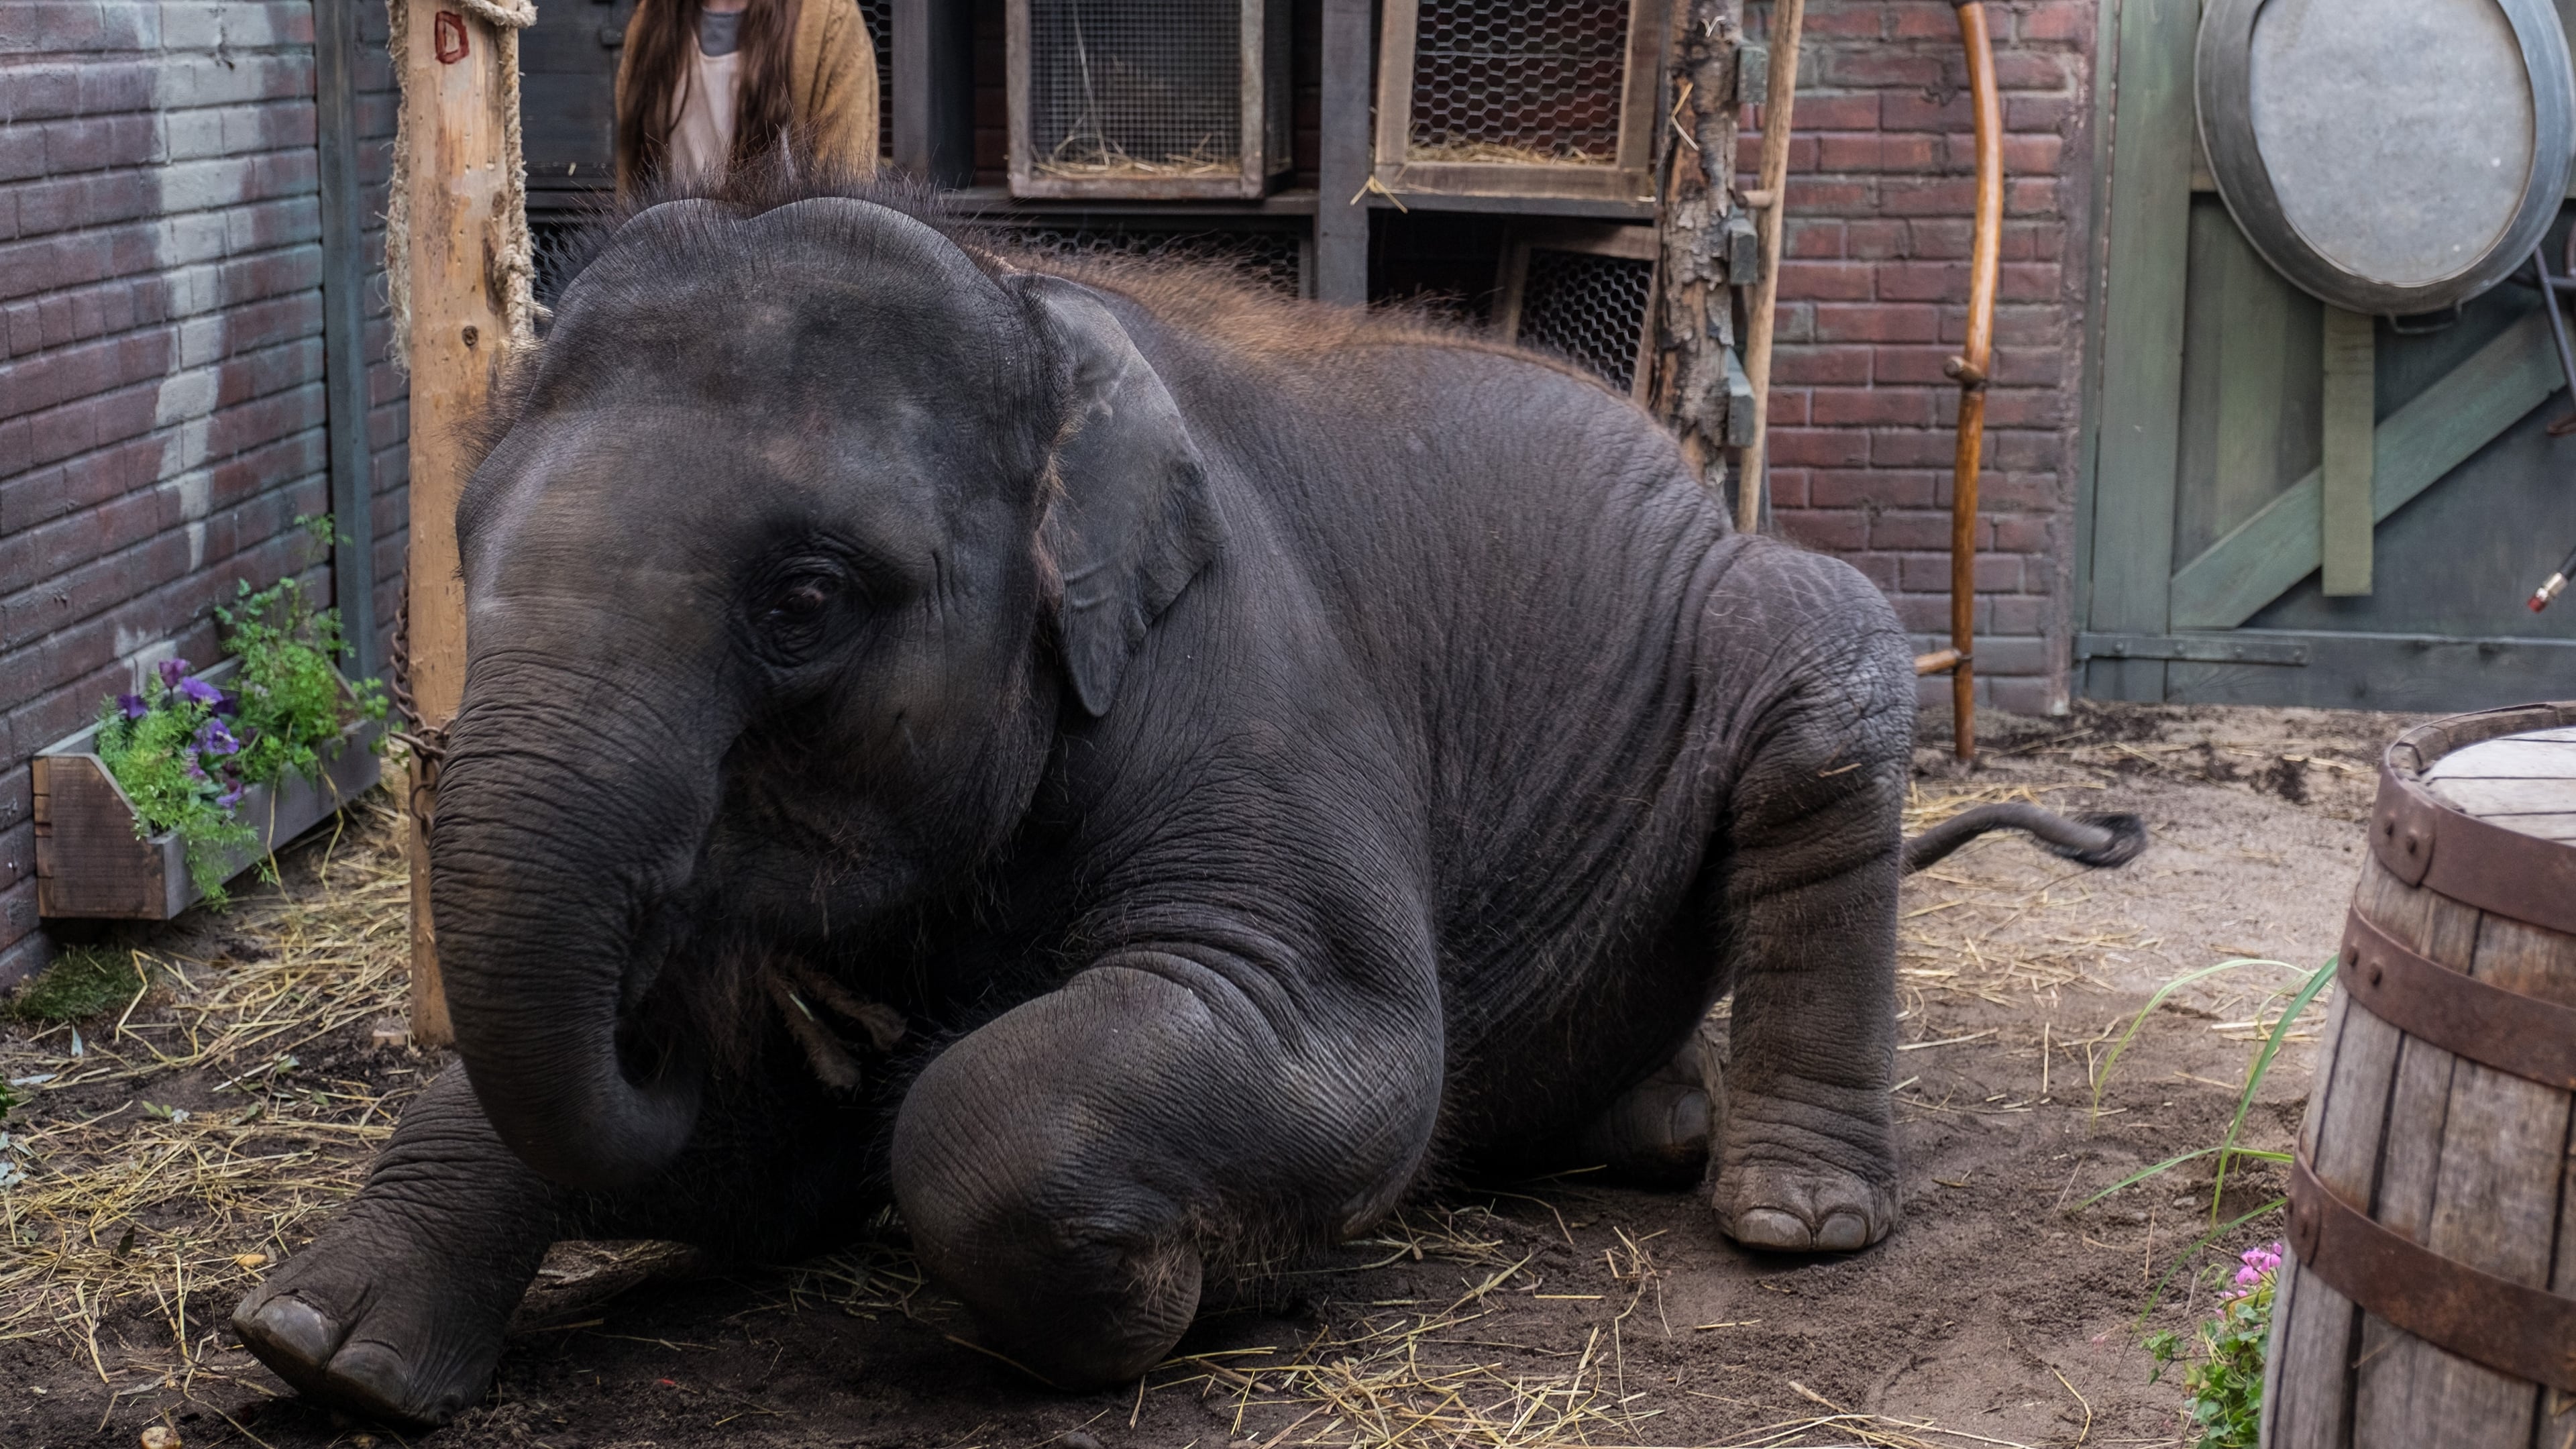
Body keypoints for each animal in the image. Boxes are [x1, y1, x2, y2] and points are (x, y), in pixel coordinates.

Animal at [231, 171, 2143, 1423]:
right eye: (463, 549)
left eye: (805, 600)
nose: (725, 999)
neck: (1037, 315)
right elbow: (757, 1154)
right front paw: (316, 1351)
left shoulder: (1249, 672)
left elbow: (1340, 1054)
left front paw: (1169, 1294)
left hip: (1761, 632)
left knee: (1827, 664)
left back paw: (1787, 1212)